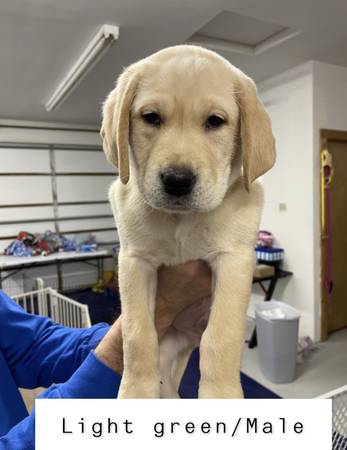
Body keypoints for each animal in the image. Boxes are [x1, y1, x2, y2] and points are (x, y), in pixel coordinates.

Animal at [101, 44, 278, 398]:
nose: (178, 181)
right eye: (151, 117)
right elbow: (137, 333)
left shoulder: (233, 259)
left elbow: (221, 336)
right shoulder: (134, 260)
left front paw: (221, 395)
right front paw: (135, 392)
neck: (180, 221)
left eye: (215, 121)